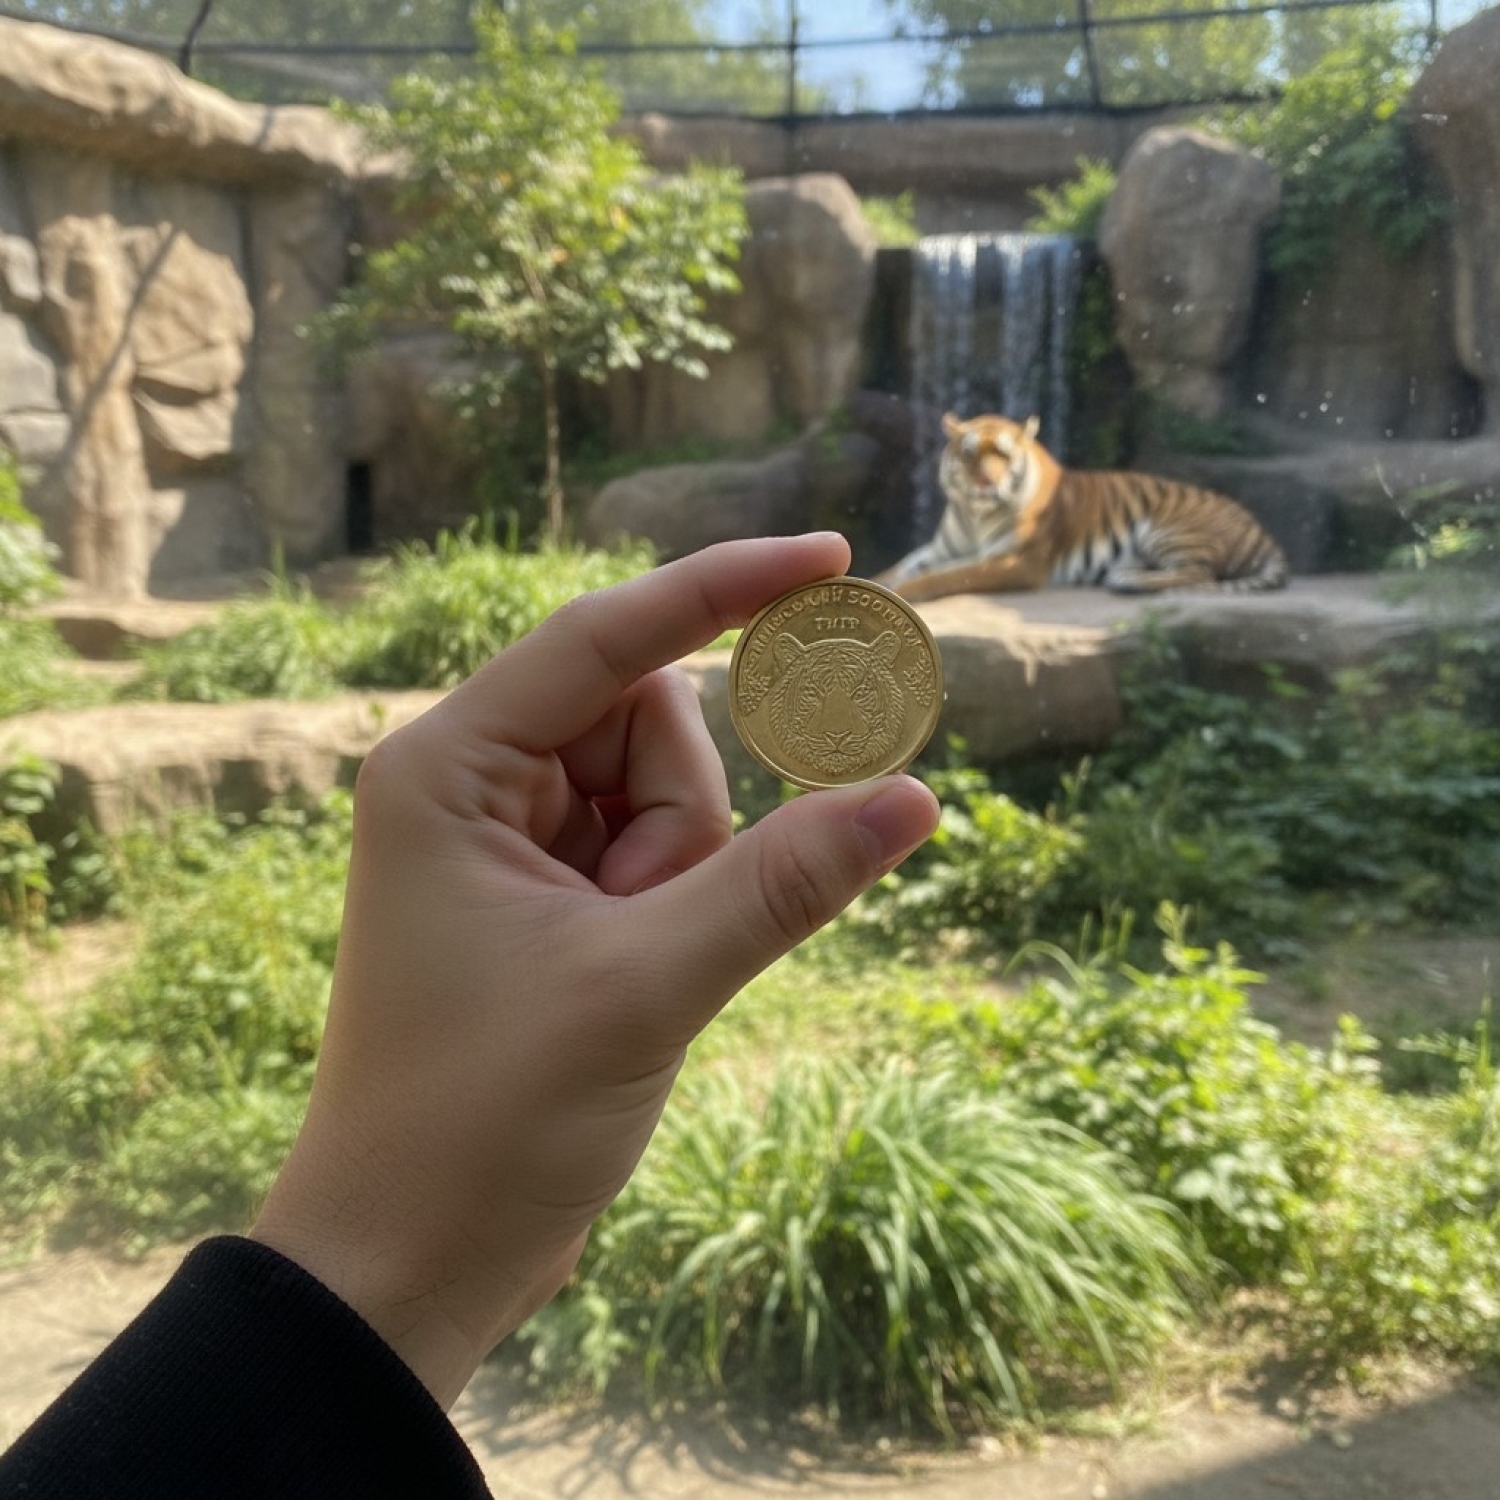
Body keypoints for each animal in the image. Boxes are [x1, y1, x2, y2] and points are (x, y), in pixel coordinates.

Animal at [878, 412, 1288, 602]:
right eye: (969, 455)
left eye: (1003, 456)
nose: (986, 483)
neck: (974, 514)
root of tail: (1266, 535)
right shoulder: (940, 550)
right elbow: (900, 566)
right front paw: (880, 580)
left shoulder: (1016, 560)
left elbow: (948, 576)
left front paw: (907, 591)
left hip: (1167, 529)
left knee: (1199, 574)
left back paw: (1129, 581)